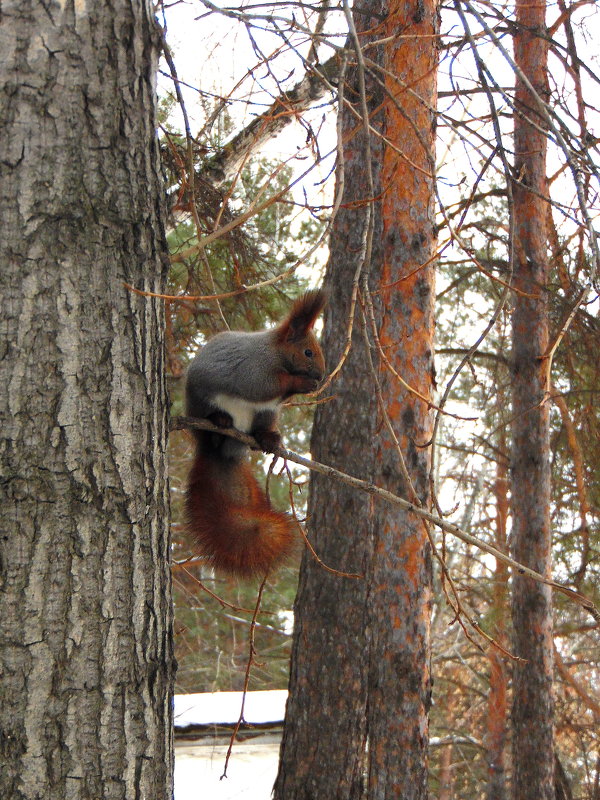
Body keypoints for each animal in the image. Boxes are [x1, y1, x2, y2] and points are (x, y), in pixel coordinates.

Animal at [186, 290, 328, 580]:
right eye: (308, 352)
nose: (320, 376)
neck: (274, 352)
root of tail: (224, 450)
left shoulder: (271, 402)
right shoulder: (254, 370)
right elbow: (264, 387)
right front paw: (302, 383)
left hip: (264, 415)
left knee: (260, 429)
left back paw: (269, 439)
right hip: (202, 403)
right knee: (212, 428)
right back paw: (219, 422)